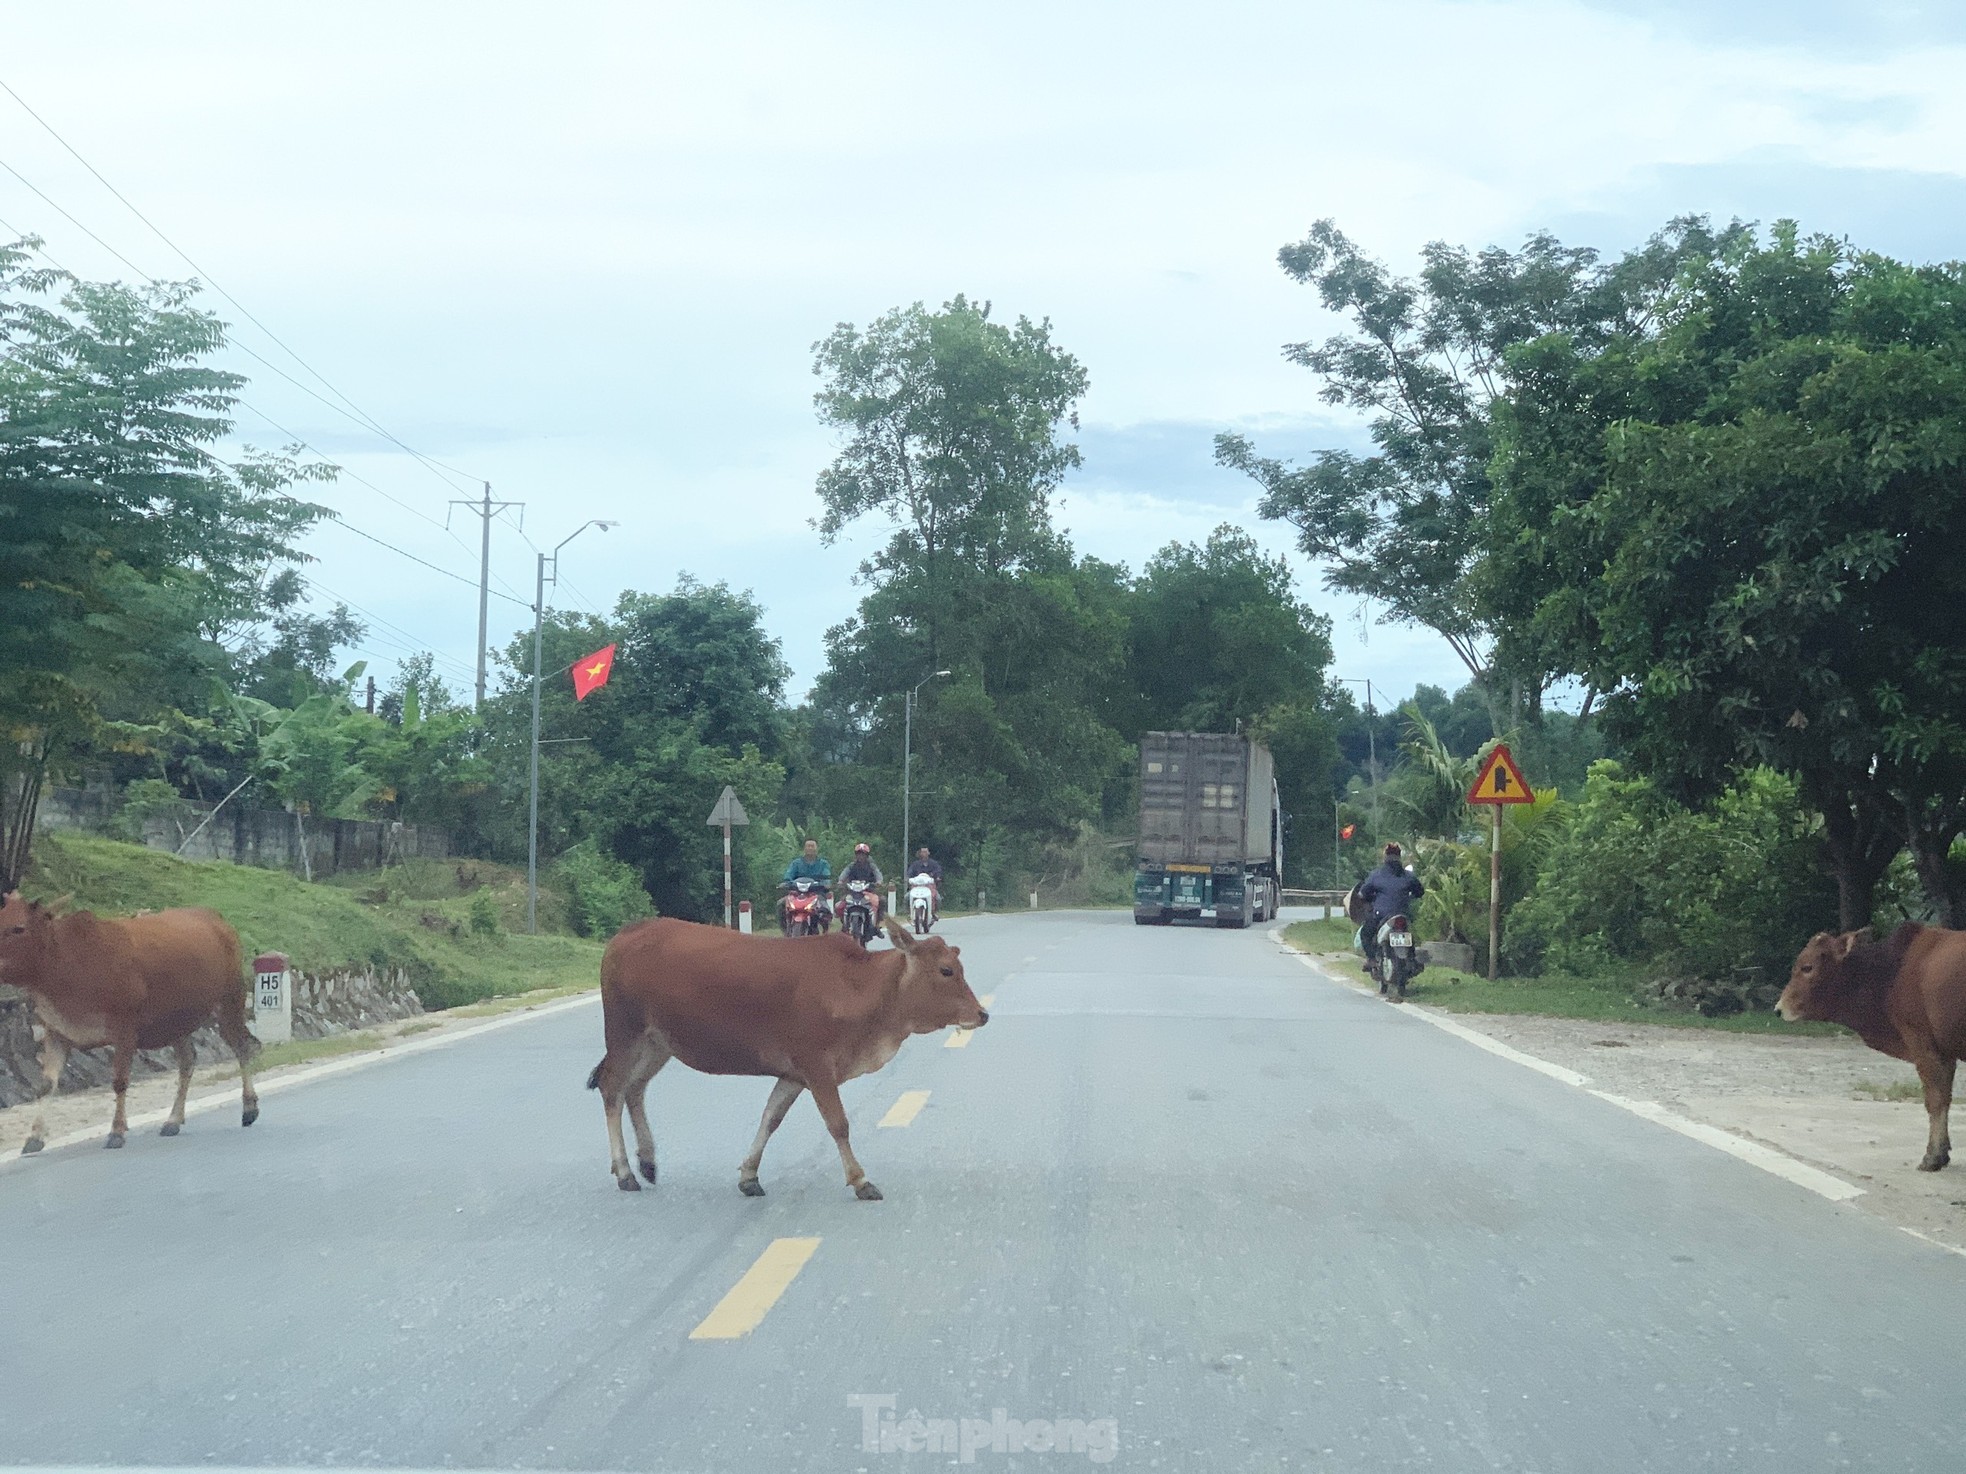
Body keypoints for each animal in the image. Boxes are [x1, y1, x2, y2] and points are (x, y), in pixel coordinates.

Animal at [0, 896, 263, 1163]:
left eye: (18, 928)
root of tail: (214, 916)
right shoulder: (56, 1031)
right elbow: (46, 1085)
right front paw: (34, 1138)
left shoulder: (125, 1029)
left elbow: (120, 1082)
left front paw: (116, 1132)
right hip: (176, 1023)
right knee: (188, 1061)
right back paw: (173, 1120)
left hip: (230, 1001)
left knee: (242, 1047)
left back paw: (249, 1108)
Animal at [578, 911, 983, 1202]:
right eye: (946, 970)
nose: (982, 1014)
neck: (861, 989)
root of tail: (625, 935)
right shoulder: (817, 1068)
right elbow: (838, 1124)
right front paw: (861, 1181)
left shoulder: (793, 1074)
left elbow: (771, 1118)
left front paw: (749, 1176)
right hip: (625, 1033)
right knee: (612, 1086)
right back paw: (626, 1172)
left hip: (658, 1043)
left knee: (635, 1088)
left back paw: (647, 1162)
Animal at [1777, 923, 1966, 1179]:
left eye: (1807, 967)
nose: (1778, 1009)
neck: (1890, 973)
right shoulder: (1945, 1052)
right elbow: (1945, 1098)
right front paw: (1943, 1153)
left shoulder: (1922, 1043)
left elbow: (1935, 1100)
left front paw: (1932, 1157)